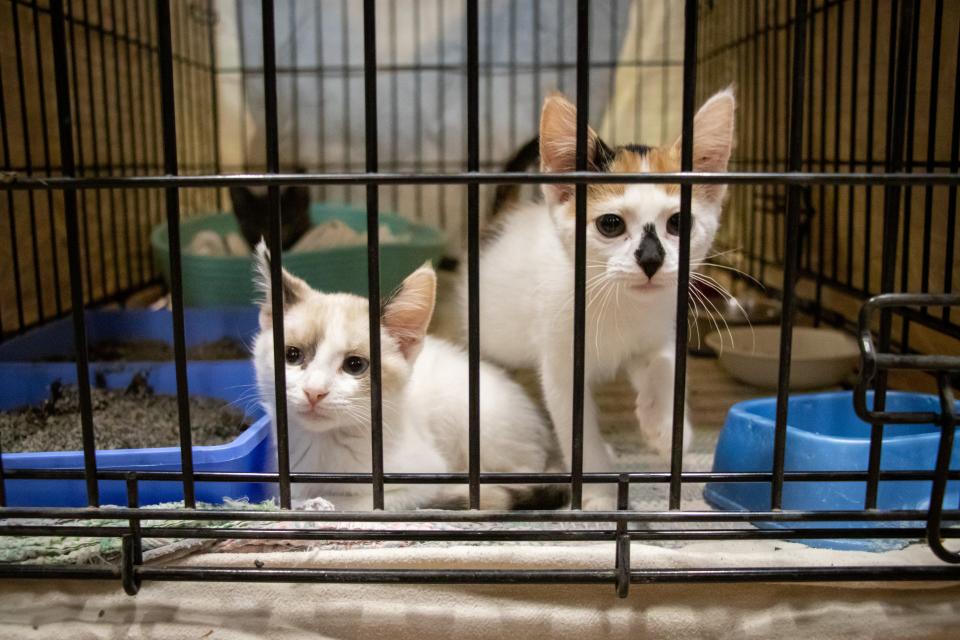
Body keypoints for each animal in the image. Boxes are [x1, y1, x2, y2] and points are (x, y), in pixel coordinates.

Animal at [251, 245, 568, 510]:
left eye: (355, 365)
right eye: (292, 355)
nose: (314, 392)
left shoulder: (421, 477)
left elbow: (360, 504)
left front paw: (317, 504)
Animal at [464, 91, 736, 510]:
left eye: (679, 223)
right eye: (610, 224)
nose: (651, 260)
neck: (620, 303)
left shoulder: (659, 325)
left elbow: (664, 361)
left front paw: (665, 425)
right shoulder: (561, 364)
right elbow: (577, 432)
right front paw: (599, 493)